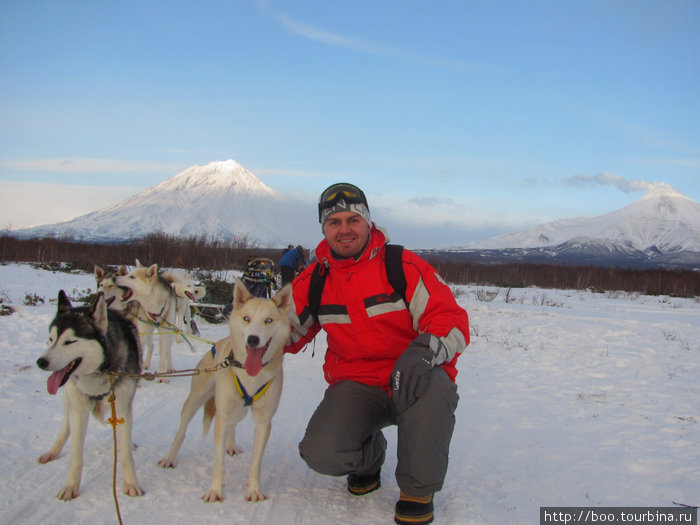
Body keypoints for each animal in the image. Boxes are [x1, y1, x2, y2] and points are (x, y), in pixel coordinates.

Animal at [37, 290, 145, 500]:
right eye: (51, 339)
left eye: (69, 341)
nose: (41, 362)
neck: (99, 371)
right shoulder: (79, 410)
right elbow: (76, 455)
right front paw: (71, 486)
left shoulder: (122, 407)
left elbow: (126, 455)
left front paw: (131, 483)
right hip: (68, 398)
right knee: (66, 426)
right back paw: (53, 451)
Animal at [157, 276, 292, 502]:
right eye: (246, 318)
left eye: (269, 320)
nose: (253, 339)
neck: (249, 376)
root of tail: (218, 343)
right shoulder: (222, 415)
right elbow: (218, 463)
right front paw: (215, 490)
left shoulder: (264, 421)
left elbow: (255, 464)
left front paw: (254, 490)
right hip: (195, 400)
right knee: (181, 431)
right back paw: (169, 457)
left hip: (239, 411)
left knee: (232, 426)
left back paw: (231, 446)